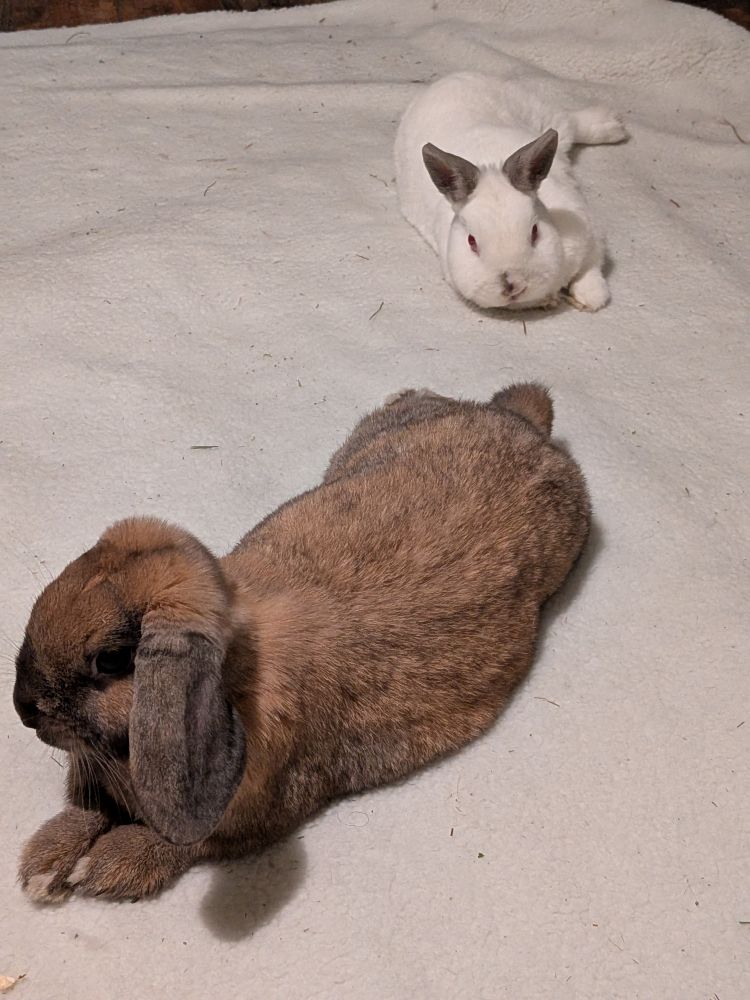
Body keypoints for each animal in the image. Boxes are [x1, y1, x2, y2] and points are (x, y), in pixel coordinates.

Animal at [13, 382, 590, 902]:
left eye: (111, 659)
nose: (23, 709)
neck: (240, 672)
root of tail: (522, 419)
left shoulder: (246, 818)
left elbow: (184, 845)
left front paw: (105, 868)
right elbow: (86, 811)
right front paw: (44, 865)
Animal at [394, 72, 627, 312]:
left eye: (534, 232)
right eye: (471, 241)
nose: (513, 285)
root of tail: (449, 79)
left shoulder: (590, 234)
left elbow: (592, 267)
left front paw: (591, 298)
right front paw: (551, 300)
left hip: (539, 113)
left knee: (570, 122)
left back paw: (613, 125)